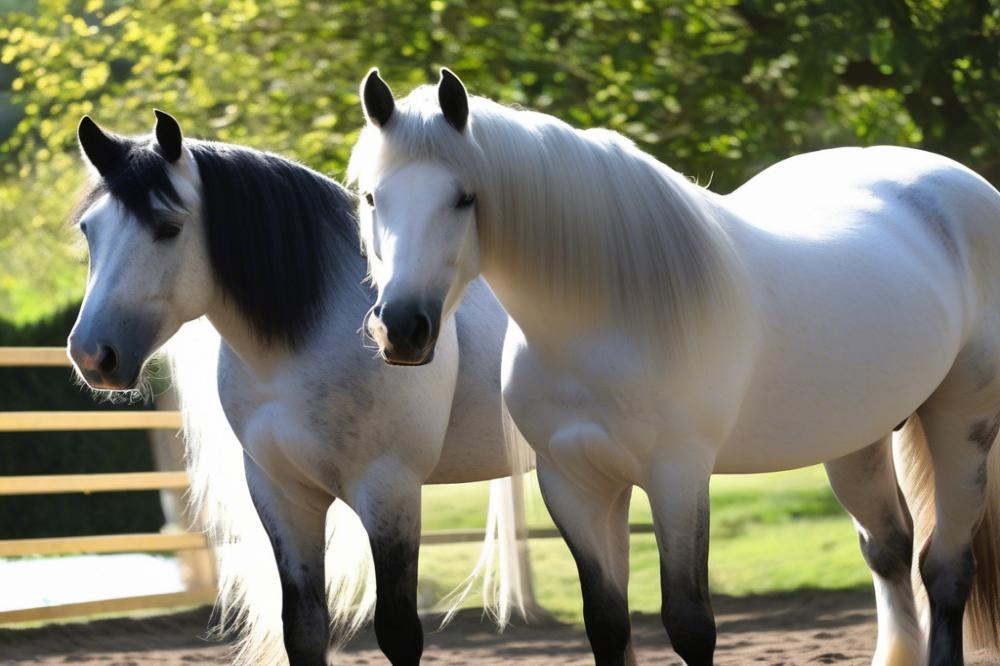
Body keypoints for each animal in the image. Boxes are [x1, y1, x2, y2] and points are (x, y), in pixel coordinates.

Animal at [68, 111, 532, 660]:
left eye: (168, 227)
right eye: (89, 229)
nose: (93, 354)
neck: (305, 339)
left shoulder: (390, 490)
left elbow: (399, 631)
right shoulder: (282, 494)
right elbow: (304, 626)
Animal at [350, 68, 1000, 664]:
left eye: (464, 197)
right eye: (372, 197)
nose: (401, 328)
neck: (600, 324)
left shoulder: (678, 477)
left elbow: (689, 622)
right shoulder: (575, 485)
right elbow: (607, 624)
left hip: (962, 424)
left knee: (944, 568)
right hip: (854, 440)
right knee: (889, 549)